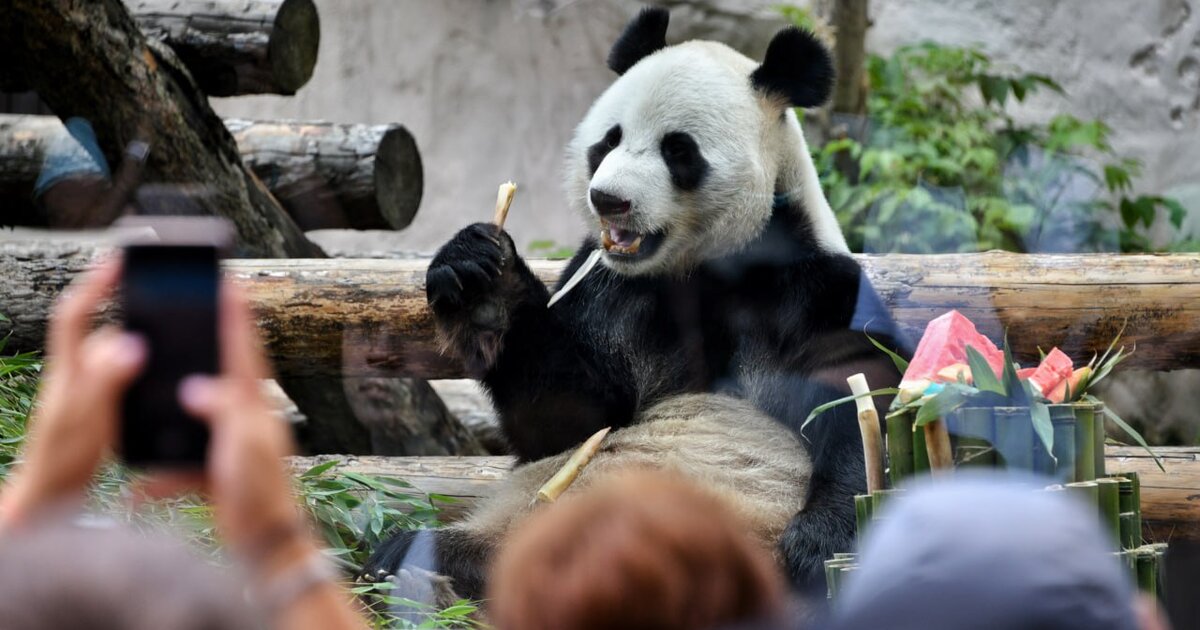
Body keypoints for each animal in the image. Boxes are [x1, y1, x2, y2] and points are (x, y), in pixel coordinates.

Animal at [369, 4, 902, 604]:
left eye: (678, 149)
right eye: (609, 140)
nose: (608, 199)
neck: (694, 267)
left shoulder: (810, 285)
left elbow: (860, 393)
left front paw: (818, 542)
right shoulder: (607, 291)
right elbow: (569, 421)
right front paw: (482, 283)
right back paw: (416, 560)